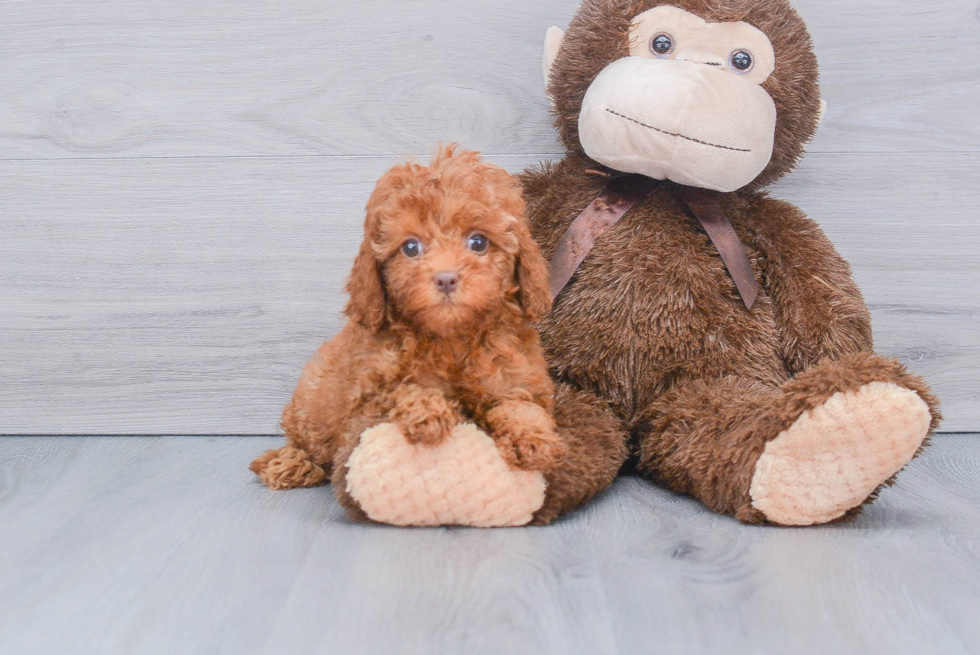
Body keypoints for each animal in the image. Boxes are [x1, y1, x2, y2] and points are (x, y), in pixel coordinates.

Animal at [249, 146, 564, 494]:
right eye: (411, 247)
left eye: (478, 242)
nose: (446, 278)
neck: (452, 338)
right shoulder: (365, 399)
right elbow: (400, 389)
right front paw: (428, 410)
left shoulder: (516, 377)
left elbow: (522, 406)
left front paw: (534, 438)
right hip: (309, 407)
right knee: (306, 445)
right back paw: (290, 463)